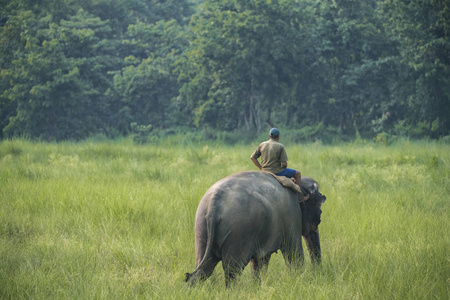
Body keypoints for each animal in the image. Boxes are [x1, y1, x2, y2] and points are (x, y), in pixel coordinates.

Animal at [185, 171, 326, 286]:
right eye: (319, 210)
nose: (317, 273)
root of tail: (214, 203)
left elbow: (261, 260)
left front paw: (258, 286)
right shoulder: (292, 216)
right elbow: (294, 253)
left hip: (201, 227)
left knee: (204, 268)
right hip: (239, 231)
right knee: (232, 271)